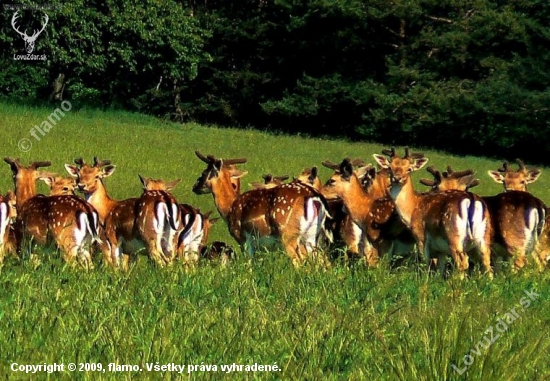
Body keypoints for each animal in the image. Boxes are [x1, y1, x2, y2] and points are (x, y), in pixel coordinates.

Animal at [193, 151, 332, 264]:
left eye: (204, 172)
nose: (195, 187)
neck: (229, 208)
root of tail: (316, 197)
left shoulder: (243, 238)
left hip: (289, 234)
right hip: (313, 236)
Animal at [376, 147, 496, 278]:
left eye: (409, 169)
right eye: (390, 167)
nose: (397, 178)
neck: (412, 210)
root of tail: (472, 200)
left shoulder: (420, 236)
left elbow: (426, 263)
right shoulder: (440, 250)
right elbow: (440, 268)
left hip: (453, 235)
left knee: (462, 263)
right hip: (484, 236)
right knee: (487, 263)